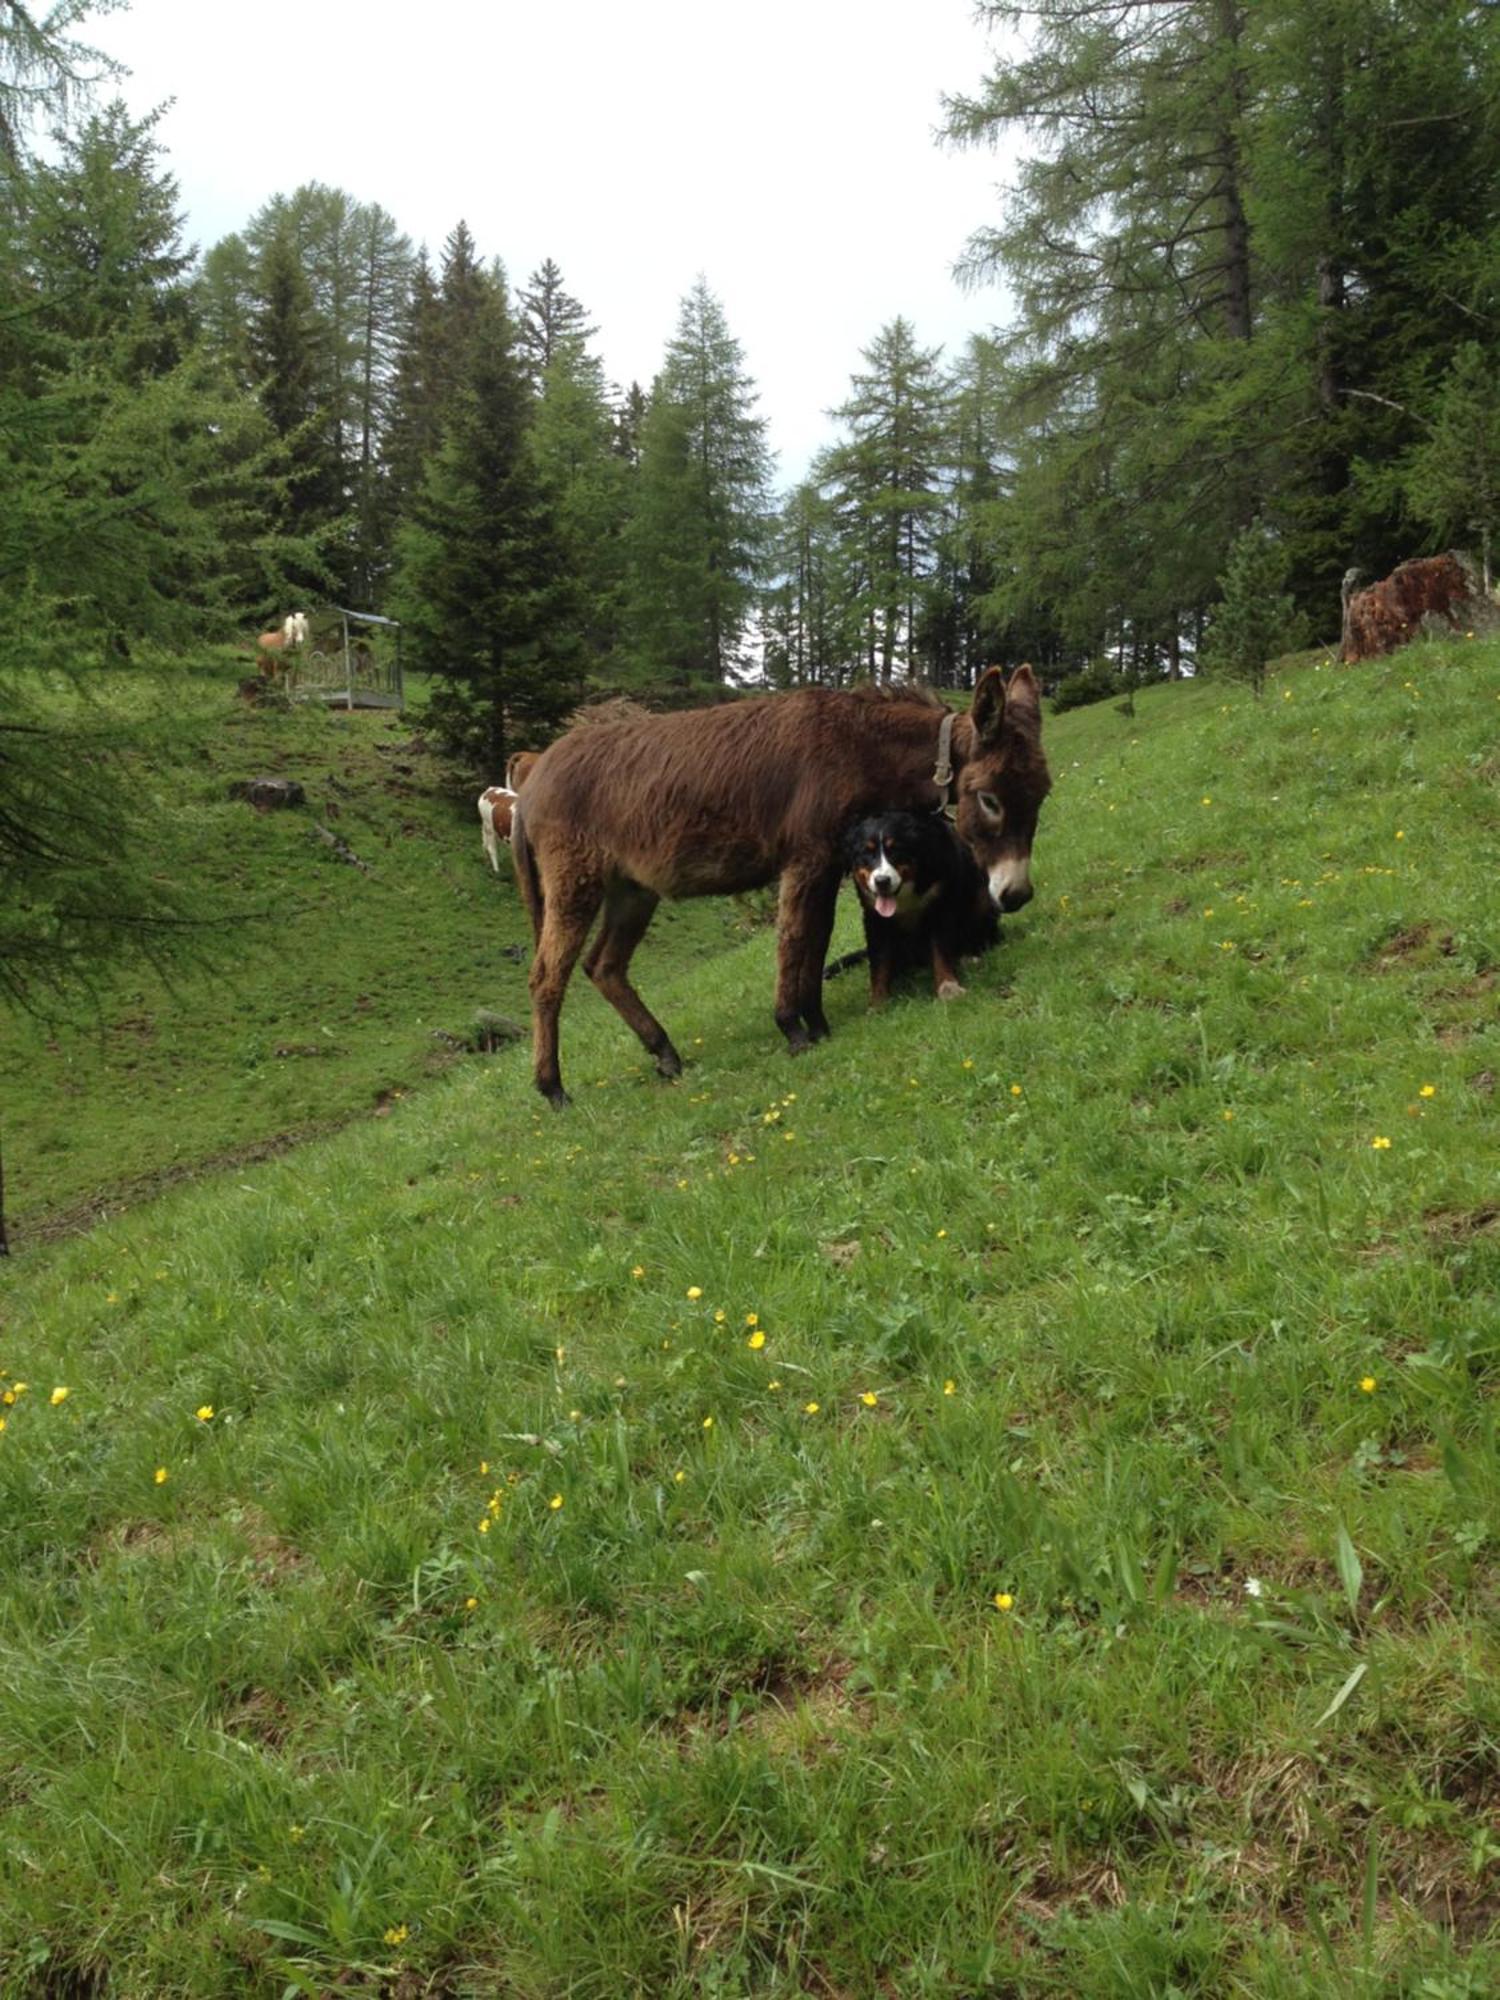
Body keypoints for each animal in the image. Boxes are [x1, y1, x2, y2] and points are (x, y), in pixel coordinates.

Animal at [840, 808, 1004, 1000]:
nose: (882, 881)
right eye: (867, 853)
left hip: (982, 897)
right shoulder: (874, 916)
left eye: (895, 850)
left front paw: (948, 986)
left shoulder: (940, 904)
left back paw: (969, 957)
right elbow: (879, 962)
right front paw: (878, 1001)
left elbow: (941, 950)